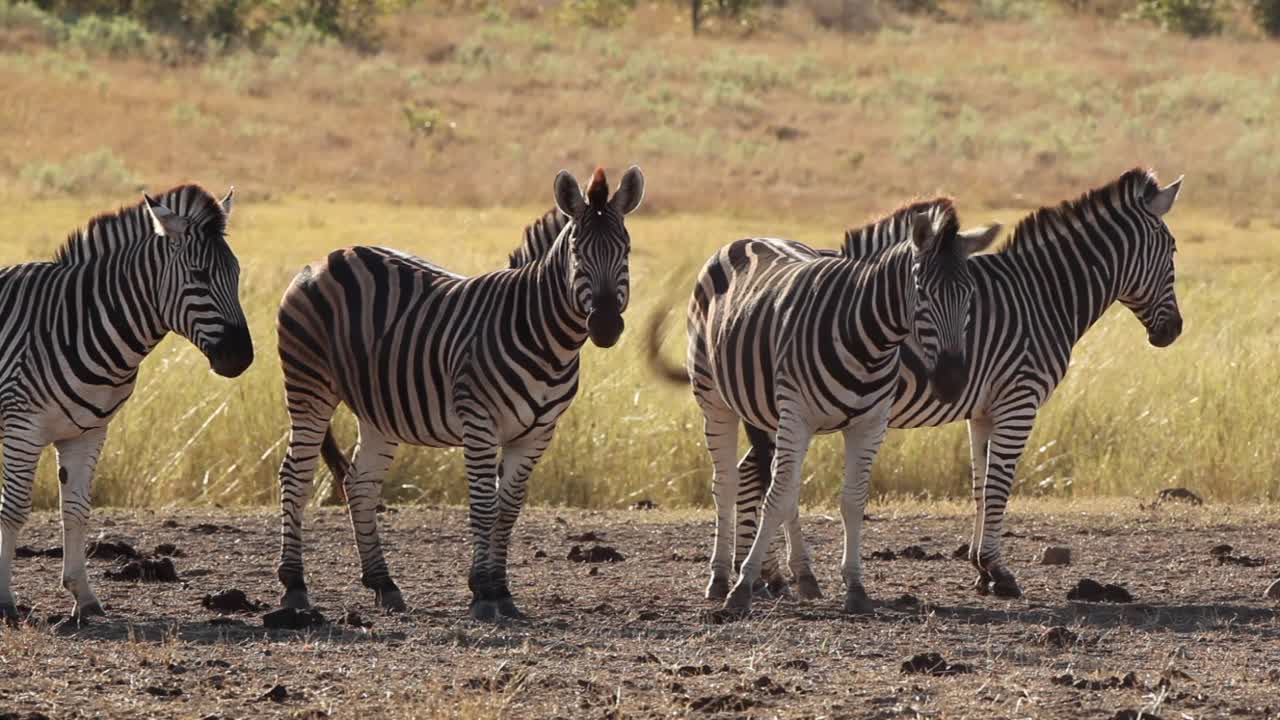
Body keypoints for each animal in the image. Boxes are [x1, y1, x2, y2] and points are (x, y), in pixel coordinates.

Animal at [0, 184, 249, 617]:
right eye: (199, 276)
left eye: (236, 275)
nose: (243, 357)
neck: (79, 322)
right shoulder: (23, 428)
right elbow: (13, 510)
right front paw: (3, 601)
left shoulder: (87, 432)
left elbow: (76, 511)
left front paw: (83, 596)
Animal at [276, 165, 645, 620]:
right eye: (577, 252)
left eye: (626, 250)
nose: (606, 326)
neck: (545, 336)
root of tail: (329, 256)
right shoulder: (480, 422)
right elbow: (484, 506)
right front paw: (483, 593)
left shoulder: (538, 433)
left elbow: (508, 508)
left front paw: (500, 591)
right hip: (307, 385)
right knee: (296, 476)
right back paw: (295, 586)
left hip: (378, 409)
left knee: (359, 484)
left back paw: (384, 583)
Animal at [650, 198, 998, 614]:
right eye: (922, 293)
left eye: (970, 296)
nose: (951, 381)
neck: (869, 342)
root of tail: (748, 238)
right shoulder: (797, 415)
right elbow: (775, 498)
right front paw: (742, 587)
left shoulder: (869, 424)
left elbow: (851, 500)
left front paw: (855, 588)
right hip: (715, 398)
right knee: (728, 483)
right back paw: (719, 578)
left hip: (769, 414)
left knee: (779, 483)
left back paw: (803, 575)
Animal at [737, 166, 1182, 594]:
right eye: (1173, 250)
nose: (1174, 331)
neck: (1042, 296)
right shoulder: (1019, 400)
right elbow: (1000, 484)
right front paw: (998, 571)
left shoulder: (984, 410)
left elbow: (982, 486)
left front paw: (981, 569)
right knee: (759, 475)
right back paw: (765, 575)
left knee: (750, 472)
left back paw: (763, 575)